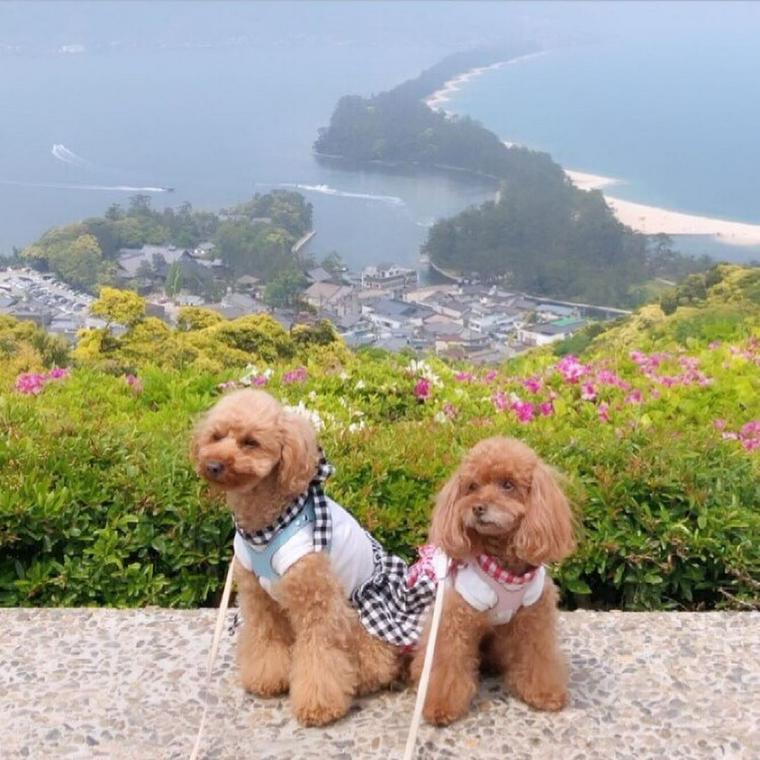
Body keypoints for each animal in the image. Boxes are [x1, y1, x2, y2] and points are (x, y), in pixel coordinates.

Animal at [193, 388, 400, 728]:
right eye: (216, 436)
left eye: (250, 442)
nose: (212, 464)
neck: (266, 525)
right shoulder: (257, 596)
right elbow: (265, 636)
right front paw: (266, 679)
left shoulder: (317, 599)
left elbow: (319, 652)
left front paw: (318, 706)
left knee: (375, 661)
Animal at [412, 434, 572, 724]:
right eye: (472, 486)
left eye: (507, 484)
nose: (477, 507)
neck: (503, 567)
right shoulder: (456, 616)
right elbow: (447, 659)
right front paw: (439, 706)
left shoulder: (535, 616)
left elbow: (538, 655)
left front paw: (545, 693)